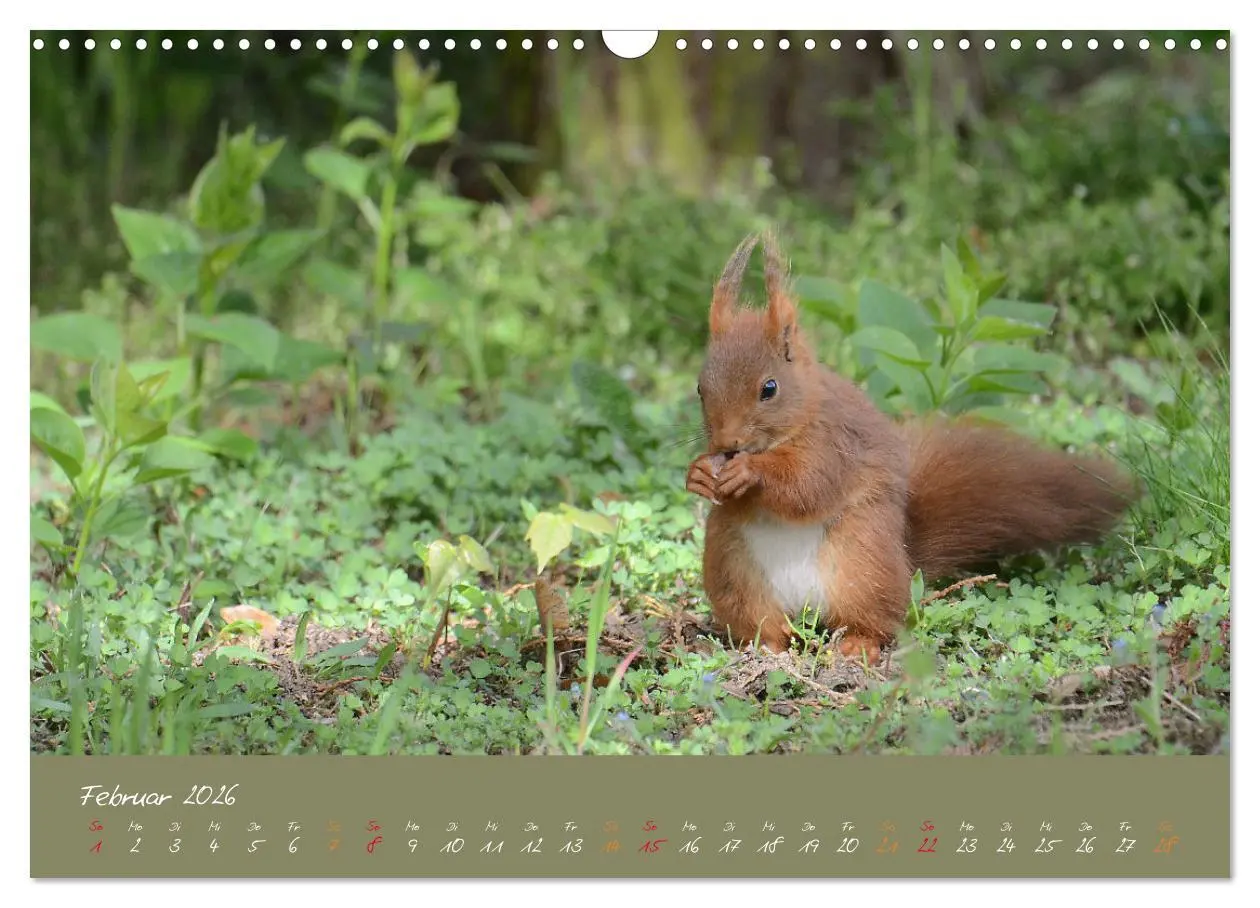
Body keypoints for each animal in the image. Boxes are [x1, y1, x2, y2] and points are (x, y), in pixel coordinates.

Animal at [685, 232, 1139, 663]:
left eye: (769, 388)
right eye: (700, 388)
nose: (726, 443)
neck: (797, 420)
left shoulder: (835, 445)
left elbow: (807, 487)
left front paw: (750, 473)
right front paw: (700, 474)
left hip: (862, 562)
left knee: (873, 621)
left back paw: (856, 645)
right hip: (734, 569)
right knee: (765, 622)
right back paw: (765, 647)